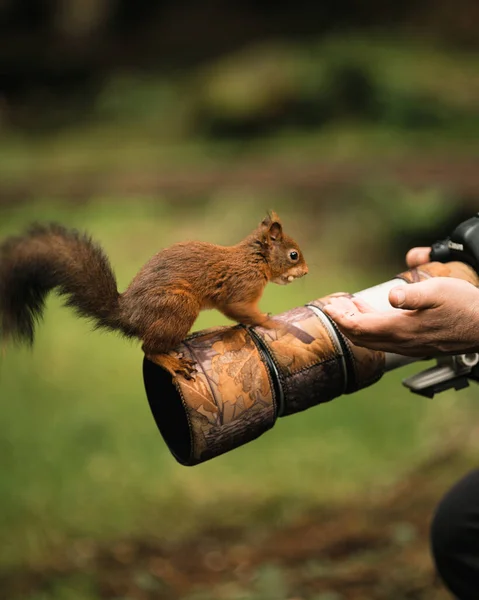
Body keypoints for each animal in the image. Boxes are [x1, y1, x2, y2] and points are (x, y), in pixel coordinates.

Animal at [0, 212, 308, 380]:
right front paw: (271, 322)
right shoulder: (239, 289)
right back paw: (169, 361)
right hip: (179, 306)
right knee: (147, 348)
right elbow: (240, 309)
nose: (306, 272)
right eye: (293, 255)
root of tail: (129, 314)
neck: (254, 260)